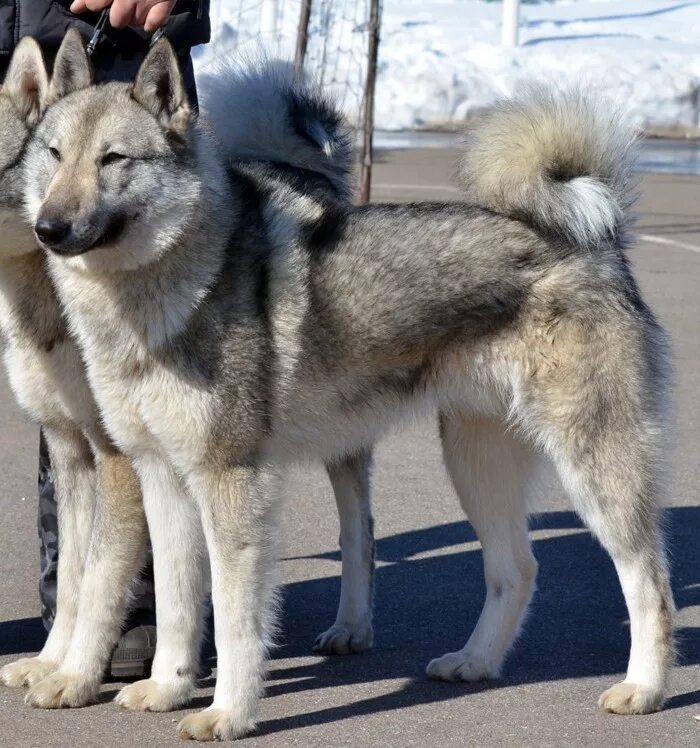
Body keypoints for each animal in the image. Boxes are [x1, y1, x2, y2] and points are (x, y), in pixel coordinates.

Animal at [26, 30, 672, 744]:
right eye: (53, 155)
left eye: (113, 159)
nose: (47, 228)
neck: (160, 293)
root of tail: (594, 241)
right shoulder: (161, 479)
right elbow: (175, 605)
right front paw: (168, 688)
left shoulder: (230, 482)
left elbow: (234, 616)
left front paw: (228, 713)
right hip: (475, 462)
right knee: (517, 570)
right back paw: (475, 662)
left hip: (593, 466)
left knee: (649, 579)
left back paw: (643, 688)